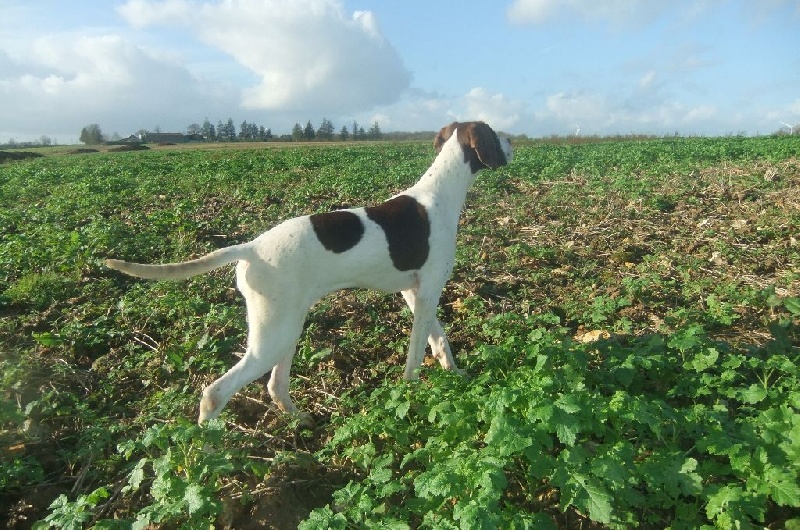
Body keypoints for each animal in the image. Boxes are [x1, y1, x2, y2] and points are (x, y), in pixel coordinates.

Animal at [104, 121, 512, 422]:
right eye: (497, 133)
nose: (514, 140)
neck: (439, 194)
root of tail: (251, 248)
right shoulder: (427, 291)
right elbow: (416, 353)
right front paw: (412, 391)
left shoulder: (415, 293)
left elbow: (439, 341)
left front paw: (454, 375)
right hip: (274, 336)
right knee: (214, 393)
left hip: (287, 327)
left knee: (274, 386)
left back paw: (300, 420)